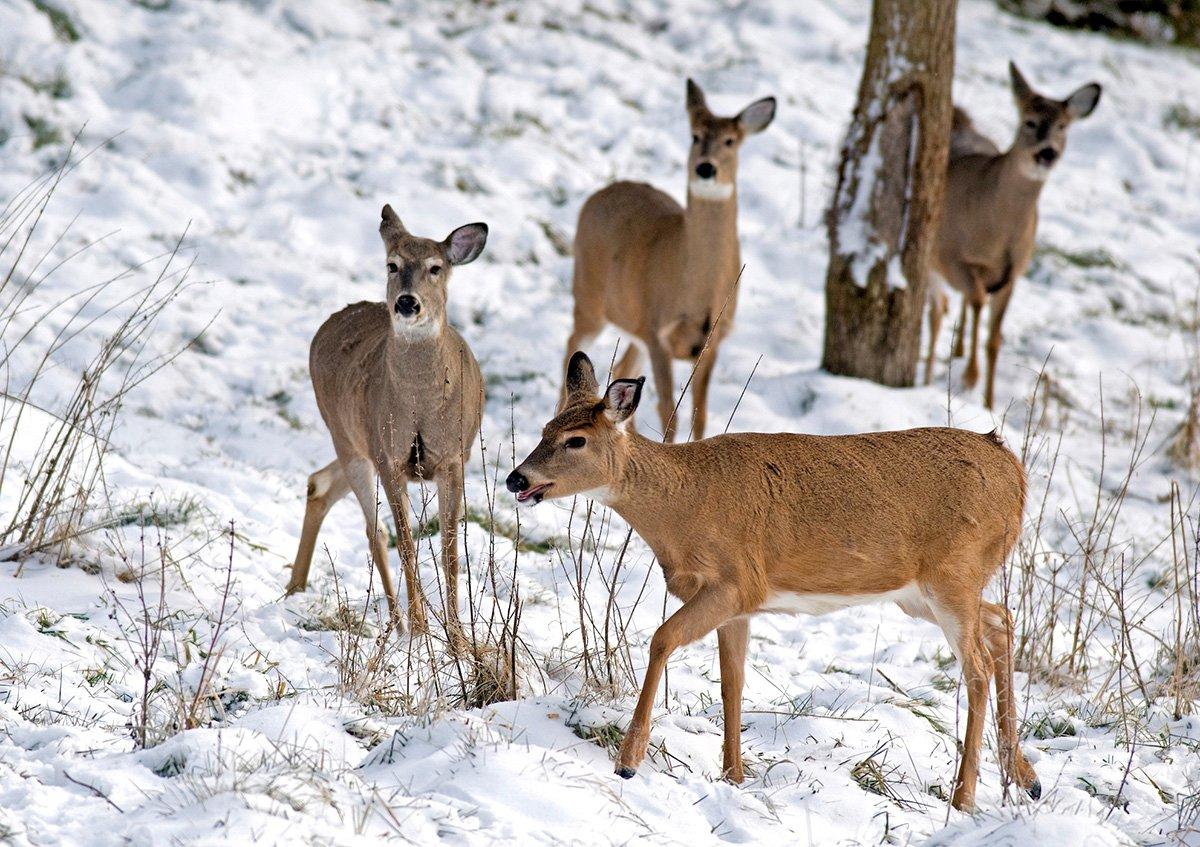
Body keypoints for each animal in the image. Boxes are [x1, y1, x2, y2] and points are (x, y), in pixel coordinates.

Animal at [287, 204, 487, 647]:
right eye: (392, 264)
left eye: (435, 267)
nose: (407, 303)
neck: (421, 406)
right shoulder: (390, 457)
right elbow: (408, 544)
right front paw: (422, 630)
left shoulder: (454, 458)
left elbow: (450, 550)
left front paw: (459, 638)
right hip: (349, 438)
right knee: (373, 528)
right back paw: (397, 623)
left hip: (356, 443)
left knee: (320, 483)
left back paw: (295, 588)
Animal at [507, 351, 1041, 812]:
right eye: (545, 428)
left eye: (576, 440)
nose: (516, 479)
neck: (683, 506)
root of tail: (1014, 469)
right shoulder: (738, 606)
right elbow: (732, 683)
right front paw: (734, 777)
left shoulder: (737, 581)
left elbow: (661, 639)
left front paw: (629, 762)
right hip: (923, 593)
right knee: (1001, 621)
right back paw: (1025, 778)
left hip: (953, 576)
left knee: (977, 667)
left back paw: (965, 797)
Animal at [562, 78, 775, 443]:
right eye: (694, 135)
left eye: (730, 141)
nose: (706, 167)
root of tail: (601, 192)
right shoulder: (657, 329)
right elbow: (668, 411)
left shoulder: (711, 339)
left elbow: (699, 414)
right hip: (589, 294)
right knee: (572, 346)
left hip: (632, 323)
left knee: (621, 368)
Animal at [925, 61, 1101, 409]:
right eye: (1029, 122)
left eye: (1063, 127)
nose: (1047, 153)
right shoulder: (950, 257)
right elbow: (976, 299)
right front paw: (970, 377)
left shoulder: (1013, 275)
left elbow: (994, 339)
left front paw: (989, 402)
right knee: (936, 310)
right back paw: (925, 374)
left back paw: (957, 349)